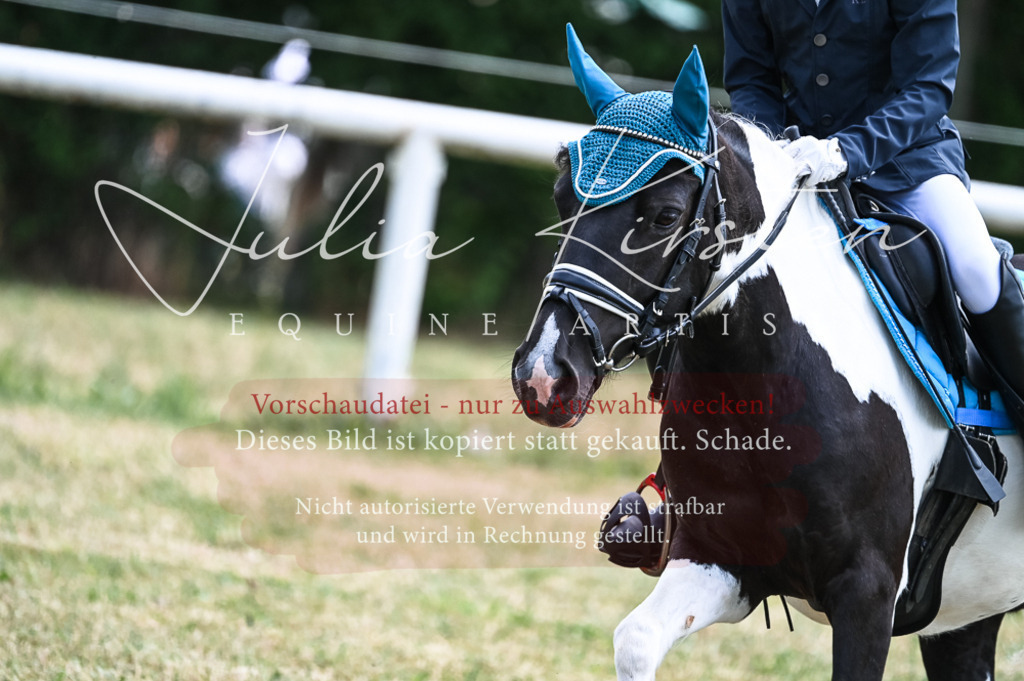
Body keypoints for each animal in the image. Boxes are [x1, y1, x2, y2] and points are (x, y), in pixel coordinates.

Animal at [511, 25, 1024, 681]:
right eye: (561, 201)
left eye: (666, 216)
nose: (544, 375)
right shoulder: (720, 561)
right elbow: (636, 640)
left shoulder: (868, 593)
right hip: (965, 617)